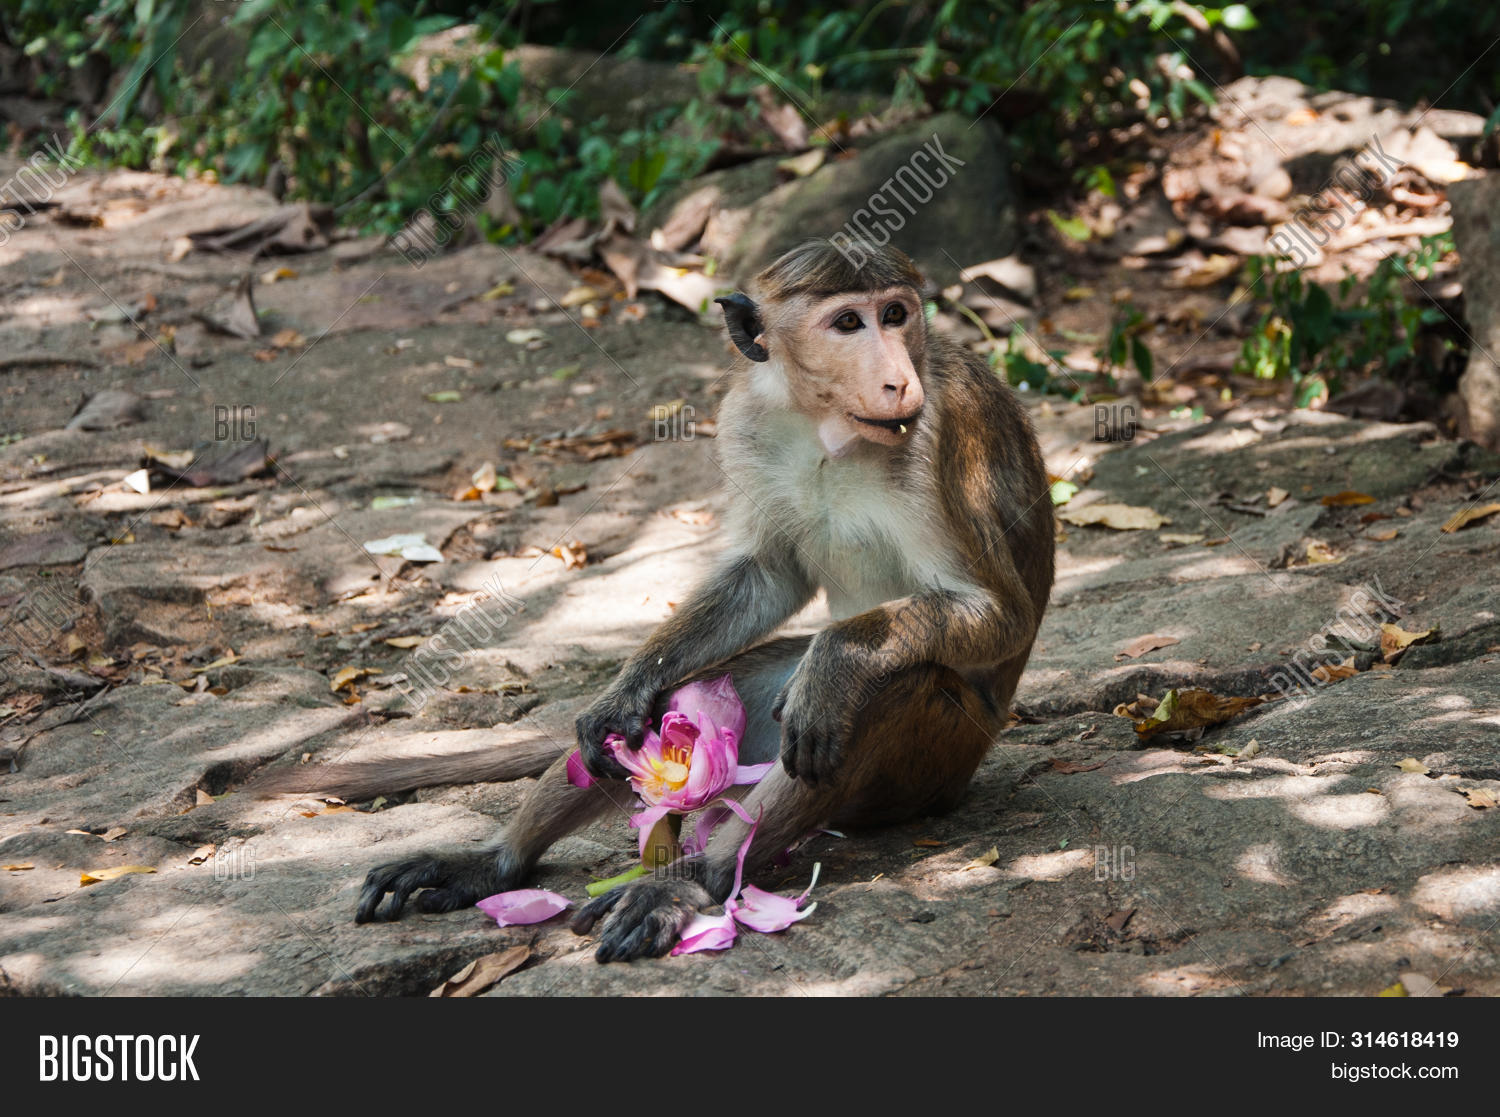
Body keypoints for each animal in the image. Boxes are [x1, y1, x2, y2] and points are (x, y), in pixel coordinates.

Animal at [324, 238, 1055, 961]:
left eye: (897, 314)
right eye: (850, 323)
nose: (898, 379)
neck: (827, 424)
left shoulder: (938, 433)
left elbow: (1000, 615)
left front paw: (837, 662)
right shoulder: (744, 421)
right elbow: (767, 575)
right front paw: (623, 690)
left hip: (941, 757)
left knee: (879, 695)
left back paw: (696, 877)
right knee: (671, 707)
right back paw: (496, 862)